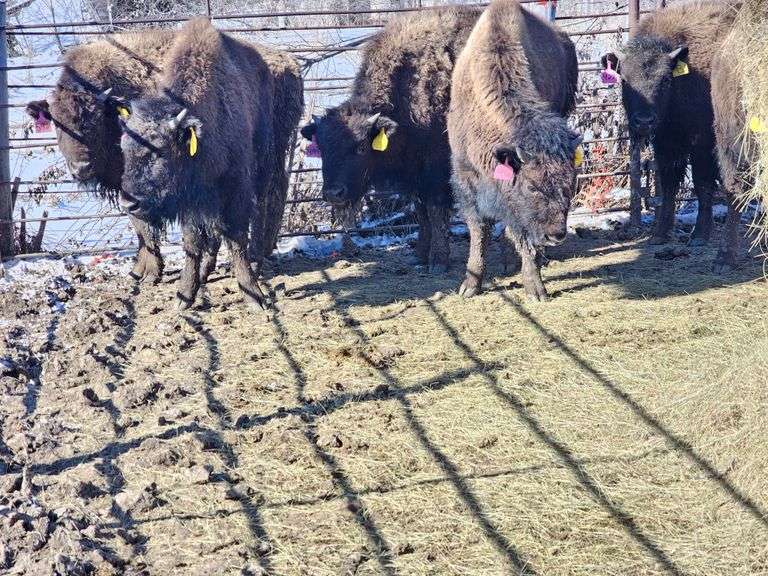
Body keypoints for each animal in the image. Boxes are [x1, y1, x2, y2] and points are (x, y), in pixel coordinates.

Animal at [26, 30, 176, 284]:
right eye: (57, 123)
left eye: (94, 121)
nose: (82, 168)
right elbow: (138, 224)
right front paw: (140, 271)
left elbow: (144, 224)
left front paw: (149, 272)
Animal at [118, 18, 303, 309]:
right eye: (124, 148)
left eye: (159, 152)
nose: (128, 203)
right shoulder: (194, 201)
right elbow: (194, 242)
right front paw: (185, 295)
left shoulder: (235, 189)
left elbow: (236, 238)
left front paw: (254, 294)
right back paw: (206, 271)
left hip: (265, 162)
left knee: (262, 206)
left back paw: (257, 260)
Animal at [299, 6, 483, 273]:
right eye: (321, 148)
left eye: (361, 147)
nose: (334, 194)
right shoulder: (414, 176)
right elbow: (421, 211)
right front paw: (419, 255)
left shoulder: (435, 171)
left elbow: (435, 210)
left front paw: (438, 261)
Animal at [447, 0, 581, 302]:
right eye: (531, 187)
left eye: (571, 184)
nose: (556, 234)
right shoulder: (466, 178)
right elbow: (479, 230)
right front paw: (469, 285)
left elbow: (521, 236)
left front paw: (536, 289)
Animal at [601, 1, 741, 247]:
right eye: (624, 80)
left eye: (665, 80)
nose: (644, 121)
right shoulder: (666, 143)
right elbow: (668, 186)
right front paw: (659, 234)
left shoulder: (702, 142)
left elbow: (702, 183)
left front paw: (699, 235)